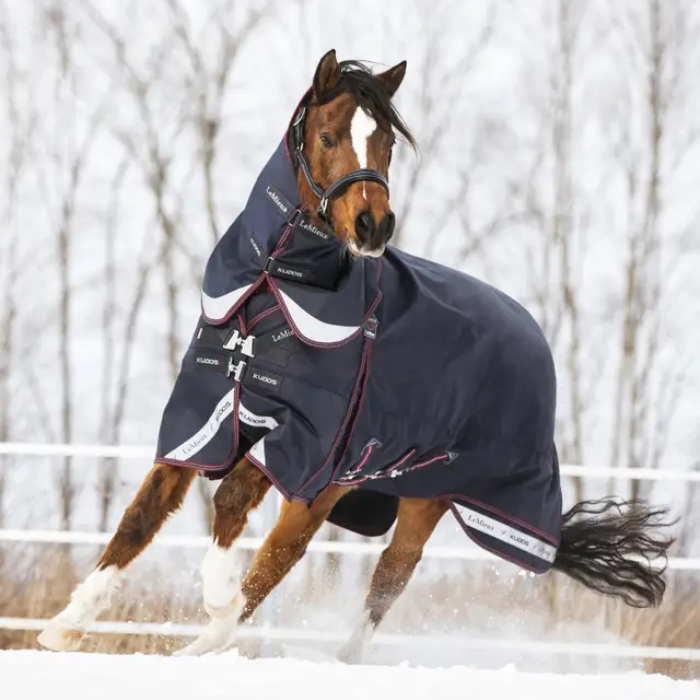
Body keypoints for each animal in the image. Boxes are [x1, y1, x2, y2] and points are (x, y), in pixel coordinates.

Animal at [38, 49, 674, 661]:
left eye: (387, 144)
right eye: (327, 136)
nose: (374, 225)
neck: (270, 292)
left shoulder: (302, 442)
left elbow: (229, 499)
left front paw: (215, 598)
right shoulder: (210, 416)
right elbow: (142, 516)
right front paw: (64, 627)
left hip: (412, 497)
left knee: (372, 575)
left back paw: (259, 646)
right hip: (346, 486)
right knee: (296, 562)